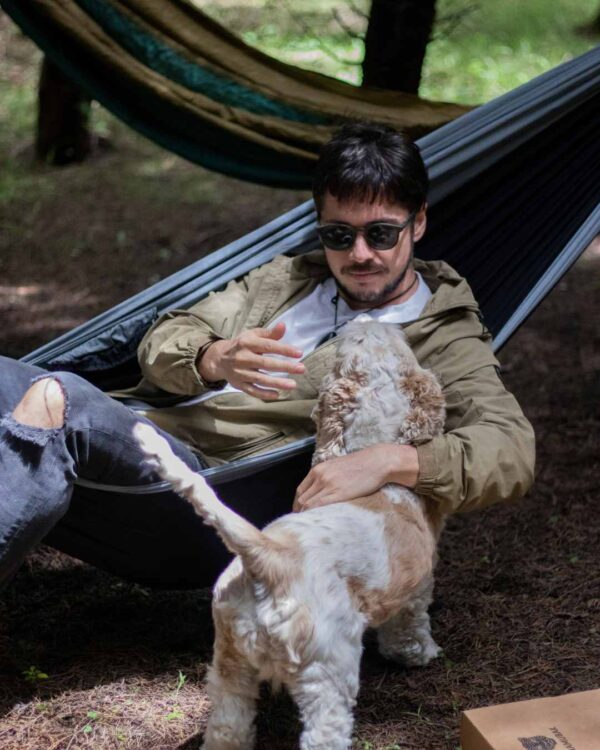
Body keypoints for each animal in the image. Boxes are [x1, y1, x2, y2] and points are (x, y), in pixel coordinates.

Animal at [136, 318, 446, 750]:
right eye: (391, 341)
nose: (368, 319)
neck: (367, 450)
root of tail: (267, 554)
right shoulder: (417, 586)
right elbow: (411, 624)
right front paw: (419, 653)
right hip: (327, 670)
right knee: (323, 730)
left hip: (230, 661)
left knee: (228, 726)